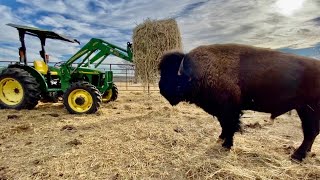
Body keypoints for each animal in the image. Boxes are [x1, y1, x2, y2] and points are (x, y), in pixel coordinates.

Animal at [159, 43, 320, 162]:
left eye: (171, 75)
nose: (161, 88)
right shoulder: (222, 111)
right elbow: (224, 126)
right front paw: (221, 139)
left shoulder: (229, 109)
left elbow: (230, 126)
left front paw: (226, 145)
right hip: (304, 110)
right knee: (311, 132)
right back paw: (303, 154)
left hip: (308, 109)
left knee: (310, 132)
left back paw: (297, 156)